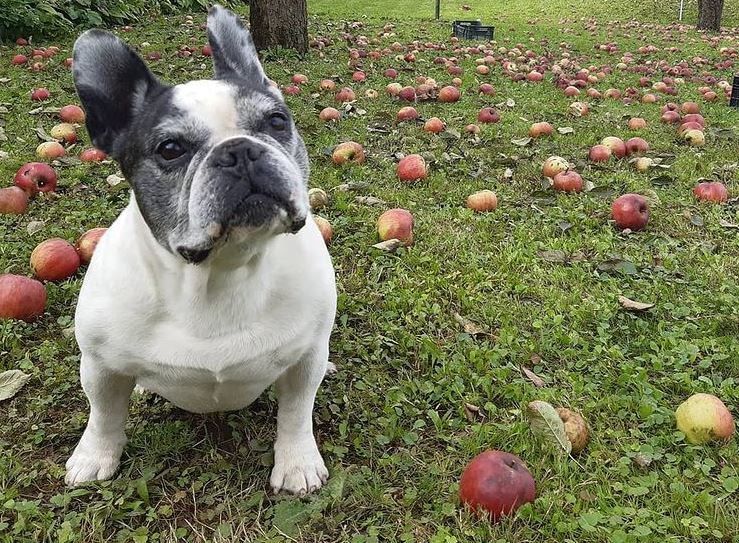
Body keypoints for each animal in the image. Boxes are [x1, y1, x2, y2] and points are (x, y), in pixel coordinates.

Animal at [65, 5, 336, 498]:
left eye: (276, 122)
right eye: (170, 149)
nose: (240, 150)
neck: (221, 271)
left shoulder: (306, 358)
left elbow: (296, 413)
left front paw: (297, 464)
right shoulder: (97, 365)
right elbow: (103, 415)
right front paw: (94, 458)